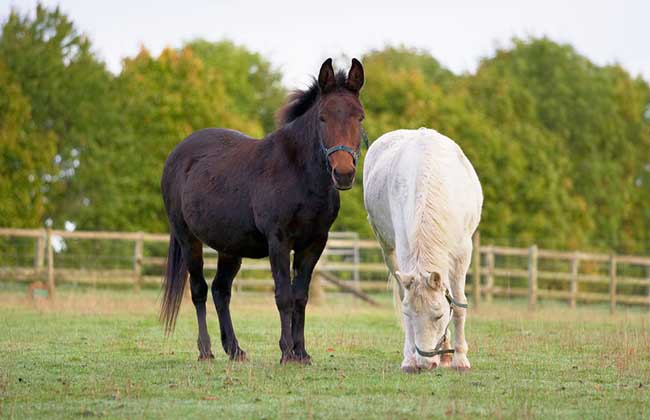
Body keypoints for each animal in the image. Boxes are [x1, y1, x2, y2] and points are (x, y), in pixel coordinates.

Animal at [364, 129, 480, 374]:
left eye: (438, 315)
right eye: (409, 314)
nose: (426, 363)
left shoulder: (462, 253)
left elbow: (458, 304)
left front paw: (460, 359)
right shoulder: (404, 248)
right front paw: (409, 360)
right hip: (388, 249)